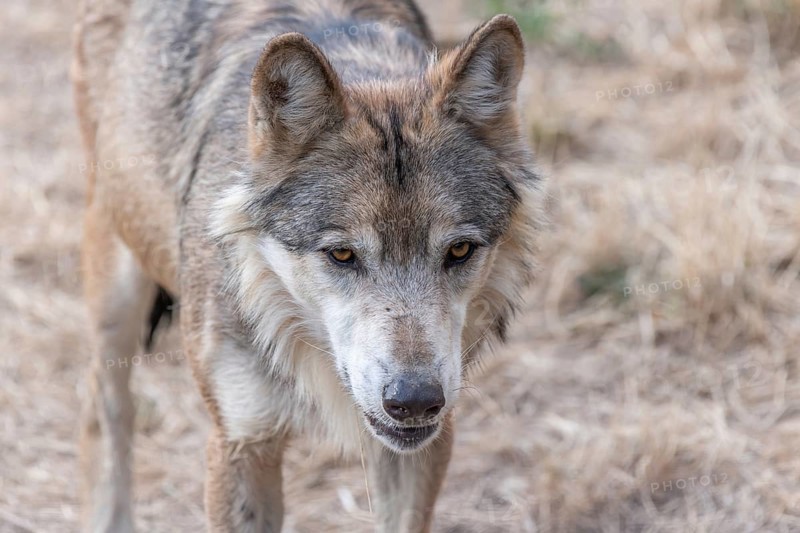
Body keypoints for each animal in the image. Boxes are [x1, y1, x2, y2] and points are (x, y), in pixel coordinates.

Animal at [72, 0, 542, 531]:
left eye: (459, 251)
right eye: (341, 255)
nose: (415, 400)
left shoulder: (423, 444)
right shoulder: (240, 439)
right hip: (115, 281)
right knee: (102, 406)